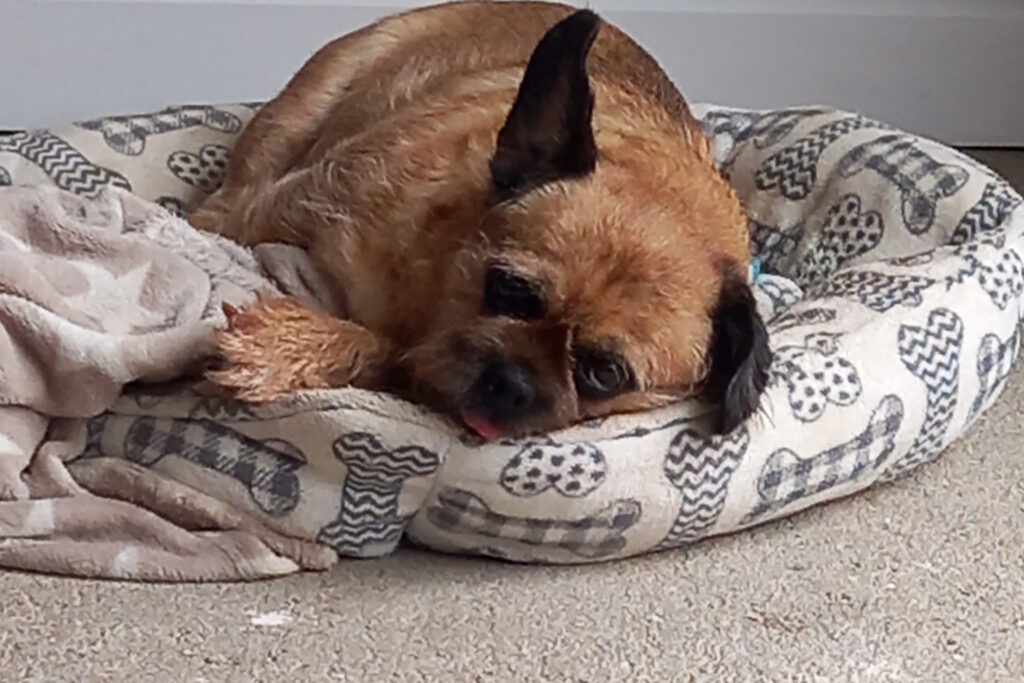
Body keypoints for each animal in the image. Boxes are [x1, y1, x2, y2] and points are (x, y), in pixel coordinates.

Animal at [190, 1, 770, 438]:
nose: (513, 382)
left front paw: (290, 346)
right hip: (300, 113)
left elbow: (385, 350)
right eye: (509, 289)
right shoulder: (277, 209)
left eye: (605, 374)